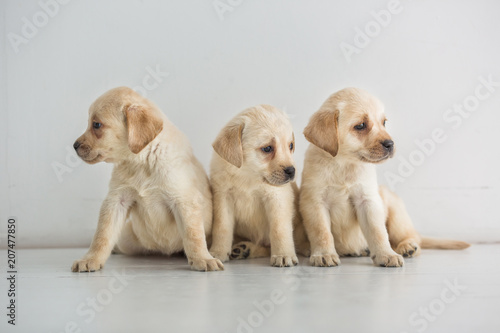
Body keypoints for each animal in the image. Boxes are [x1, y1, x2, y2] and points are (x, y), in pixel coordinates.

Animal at [73, 87, 225, 272]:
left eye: (96, 125)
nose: (74, 146)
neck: (142, 161)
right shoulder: (117, 200)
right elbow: (102, 235)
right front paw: (91, 259)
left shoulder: (184, 200)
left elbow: (193, 235)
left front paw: (203, 258)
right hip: (128, 239)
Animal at [207, 105, 308, 266]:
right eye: (267, 148)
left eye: (290, 146)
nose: (291, 171)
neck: (248, 176)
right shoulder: (223, 198)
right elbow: (222, 227)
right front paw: (218, 252)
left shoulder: (277, 199)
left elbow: (279, 229)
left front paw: (283, 255)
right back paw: (243, 249)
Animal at [300, 87, 468, 268]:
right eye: (361, 125)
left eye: (384, 122)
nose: (390, 144)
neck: (344, 164)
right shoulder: (315, 202)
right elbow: (321, 232)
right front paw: (324, 254)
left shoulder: (368, 201)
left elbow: (378, 232)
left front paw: (386, 254)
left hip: (395, 213)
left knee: (413, 237)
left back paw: (407, 247)